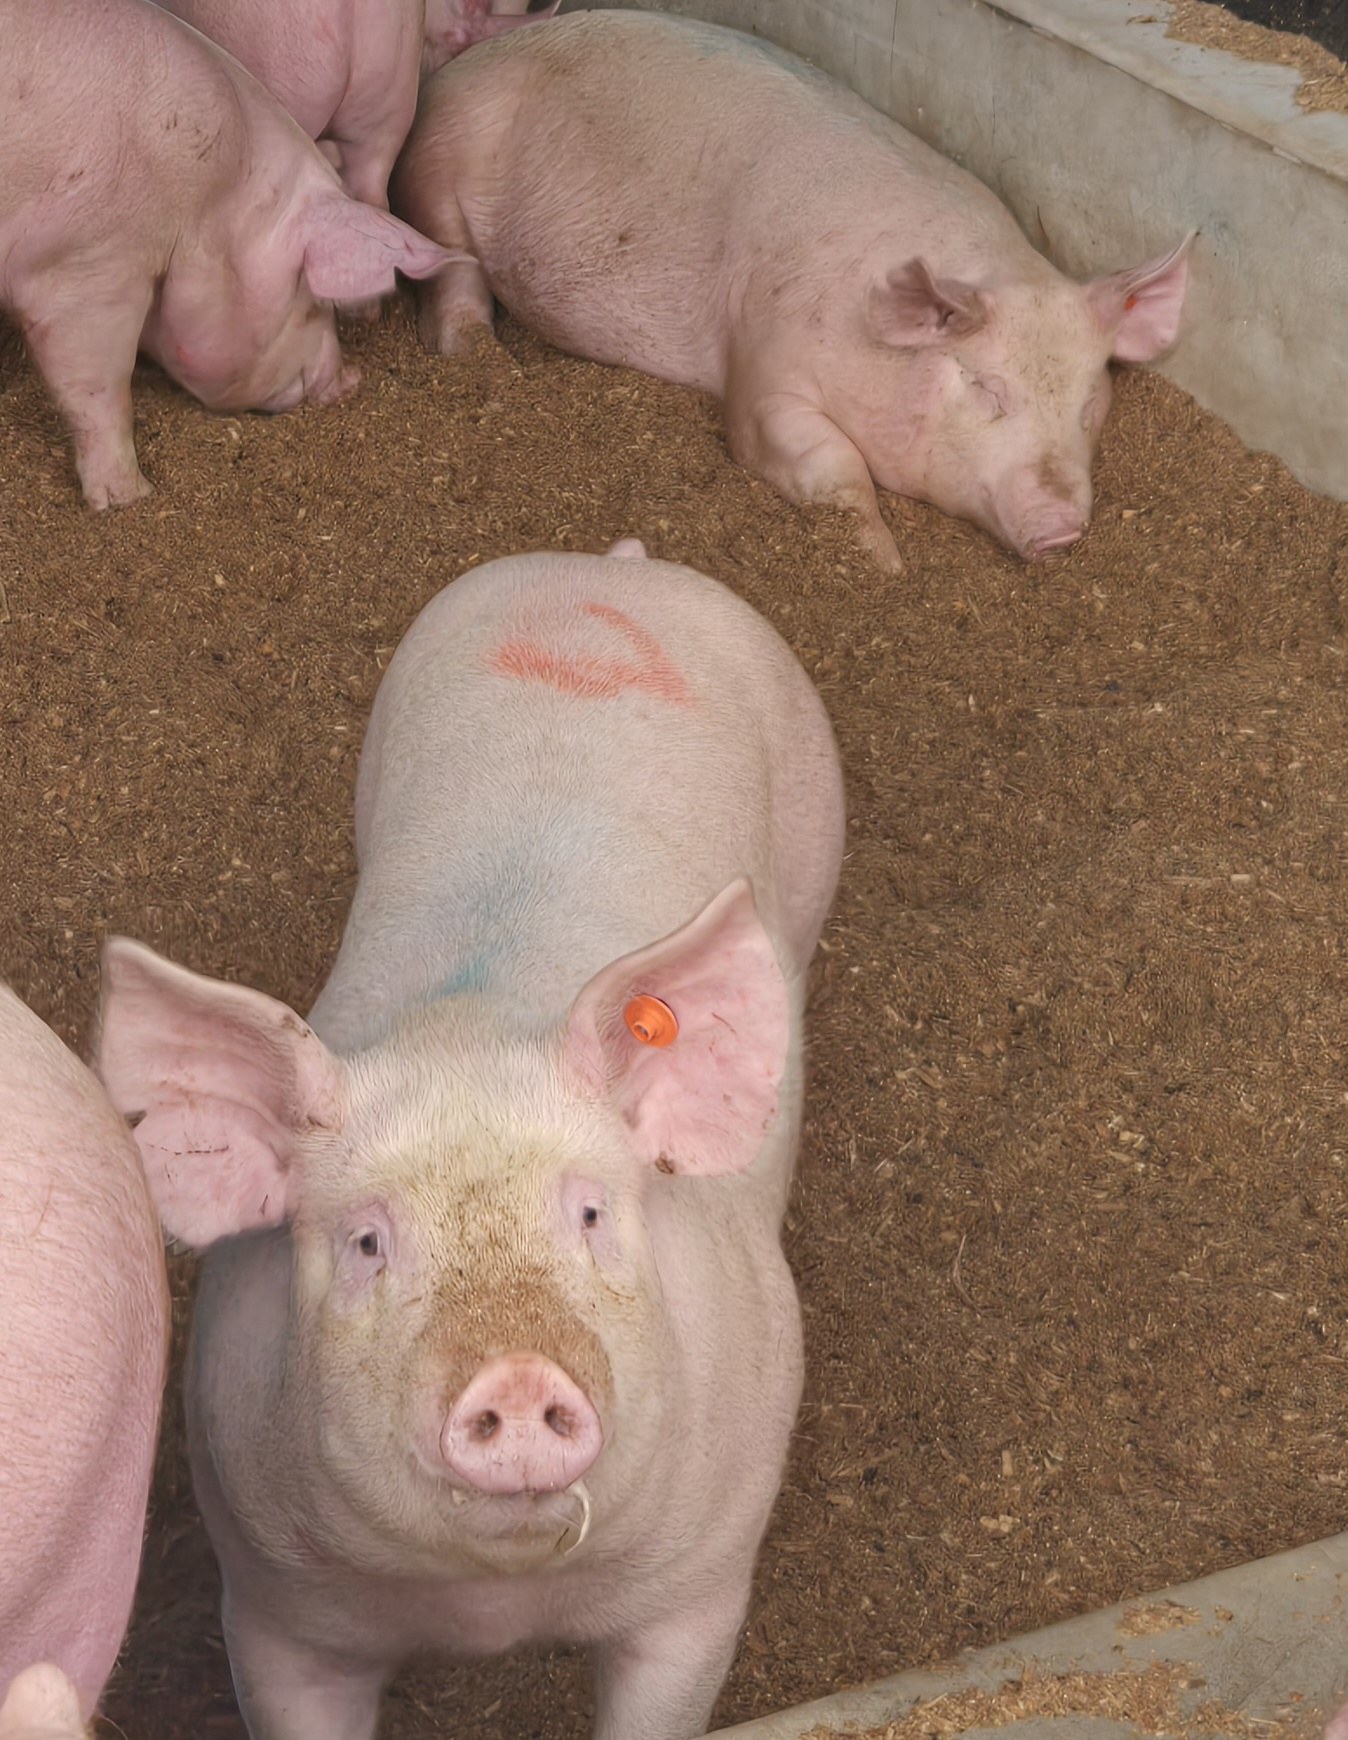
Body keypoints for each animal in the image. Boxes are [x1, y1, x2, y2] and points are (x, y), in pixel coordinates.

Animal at [0, 0, 452, 509]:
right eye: (312, 302)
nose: (348, 383)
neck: (206, 204)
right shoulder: (88, 265)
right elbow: (98, 386)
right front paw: (130, 498)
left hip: (388, 100)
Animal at [95, 540, 846, 1740]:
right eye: (367, 1243)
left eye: (590, 1212)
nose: (515, 1369)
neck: (498, 1607)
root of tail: (611, 569)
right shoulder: (271, 1604)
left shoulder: (703, 1582)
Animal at [391, 8, 1192, 572]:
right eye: (987, 388)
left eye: (1090, 404)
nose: (1062, 530)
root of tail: (457, 69)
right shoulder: (763, 366)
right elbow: (826, 465)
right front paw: (885, 565)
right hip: (435, 169)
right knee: (453, 278)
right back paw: (485, 362)